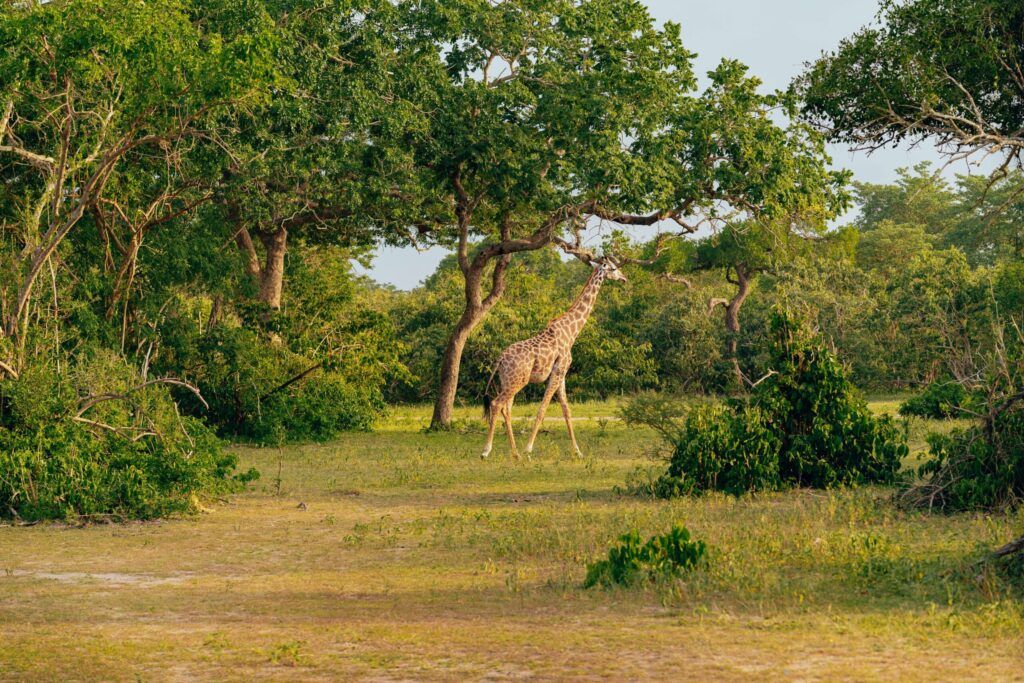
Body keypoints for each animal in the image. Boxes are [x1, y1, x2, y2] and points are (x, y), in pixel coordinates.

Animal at [481, 258, 627, 460]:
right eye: (613, 268)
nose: (624, 278)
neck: (571, 332)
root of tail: (500, 359)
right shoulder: (558, 372)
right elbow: (542, 409)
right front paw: (529, 449)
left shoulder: (562, 374)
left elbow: (567, 410)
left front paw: (578, 451)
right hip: (517, 381)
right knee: (496, 404)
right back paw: (487, 451)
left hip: (508, 381)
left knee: (506, 409)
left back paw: (515, 453)